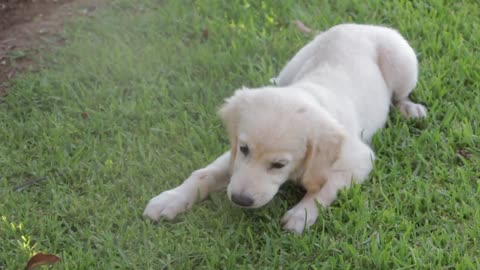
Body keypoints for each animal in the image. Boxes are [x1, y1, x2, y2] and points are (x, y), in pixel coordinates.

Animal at [143, 23, 428, 234]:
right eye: (244, 149)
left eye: (279, 164)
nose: (240, 200)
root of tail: (359, 25)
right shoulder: (233, 156)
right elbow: (203, 173)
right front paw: (170, 199)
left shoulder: (359, 160)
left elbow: (326, 187)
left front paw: (301, 214)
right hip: (295, 62)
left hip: (403, 62)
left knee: (400, 95)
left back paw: (410, 109)